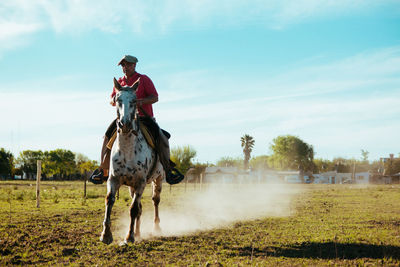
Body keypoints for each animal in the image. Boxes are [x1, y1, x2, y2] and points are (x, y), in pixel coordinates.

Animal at [101, 77, 165, 245]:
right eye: (118, 99)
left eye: (135, 101)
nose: (125, 124)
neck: (128, 150)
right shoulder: (114, 179)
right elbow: (110, 201)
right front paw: (106, 234)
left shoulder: (141, 182)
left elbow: (133, 209)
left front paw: (129, 237)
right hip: (131, 186)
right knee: (140, 207)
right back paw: (138, 232)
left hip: (158, 179)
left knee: (155, 201)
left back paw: (156, 228)